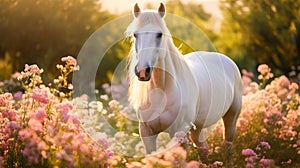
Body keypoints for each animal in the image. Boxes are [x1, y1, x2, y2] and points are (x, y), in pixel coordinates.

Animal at [125, 2, 243, 167]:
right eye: (136, 35)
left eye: (159, 34)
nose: (142, 71)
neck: (161, 91)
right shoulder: (147, 133)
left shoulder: (178, 133)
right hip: (197, 128)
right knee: (203, 148)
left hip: (231, 117)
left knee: (228, 145)